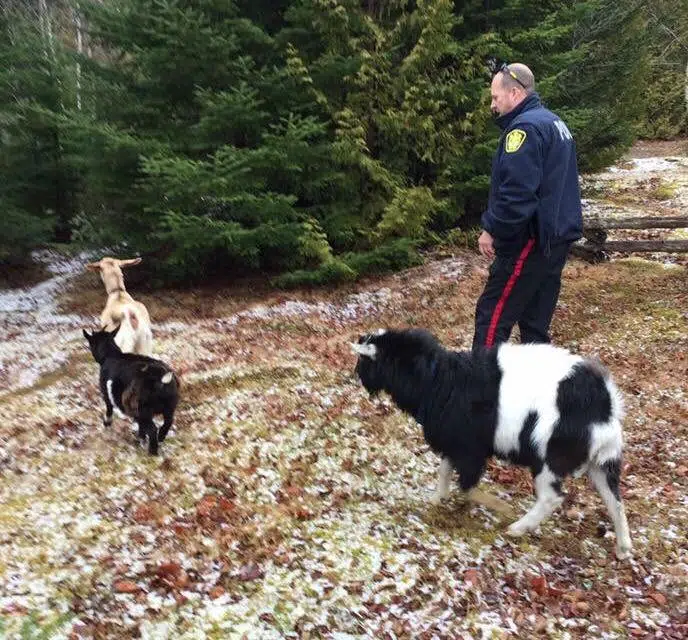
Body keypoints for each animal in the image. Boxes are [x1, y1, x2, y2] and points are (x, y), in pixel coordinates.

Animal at [83, 324, 179, 456]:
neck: (112, 355)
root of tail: (161, 378)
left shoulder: (107, 395)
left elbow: (109, 409)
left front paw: (107, 424)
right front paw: (141, 439)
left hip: (144, 411)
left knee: (152, 429)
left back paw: (152, 452)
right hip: (168, 407)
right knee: (168, 422)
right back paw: (160, 438)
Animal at [354, 330, 636, 560]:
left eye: (365, 361)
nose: (358, 377)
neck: (440, 381)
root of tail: (605, 407)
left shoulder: (469, 449)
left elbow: (467, 486)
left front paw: (500, 506)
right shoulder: (455, 444)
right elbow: (445, 471)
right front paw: (436, 499)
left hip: (550, 460)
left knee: (551, 498)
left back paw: (517, 527)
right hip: (602, 463)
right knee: (615, 501)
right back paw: (623, 548)